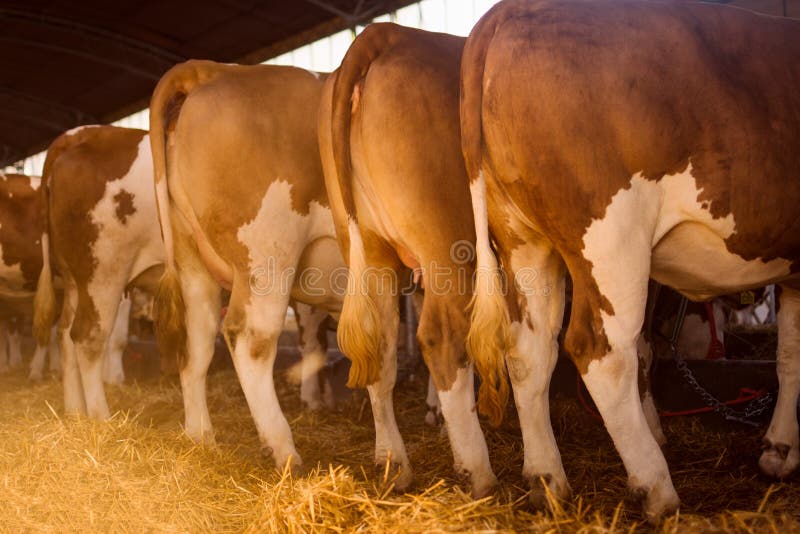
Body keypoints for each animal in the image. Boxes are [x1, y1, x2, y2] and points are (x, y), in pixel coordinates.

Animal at [33, 125, 164, 417]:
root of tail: (78, 134)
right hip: (105, 272)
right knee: (87, 336)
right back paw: (100, 418)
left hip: (76, 281)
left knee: (64, 334)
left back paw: (75, 412)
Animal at [149, 60, 357, 471]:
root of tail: (213, 70)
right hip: (267, 254)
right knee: (250, 338)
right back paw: (285, 450)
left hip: (193, 262)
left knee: (197, 346)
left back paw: (201, 438)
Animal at [461, 0, 800, 521]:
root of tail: (502, 14)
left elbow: (788, 354)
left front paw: (780, 450)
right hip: (611, 237)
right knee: (600, 352)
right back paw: (656, 487)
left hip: (523, 240)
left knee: (528, 352)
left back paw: (547, 482)